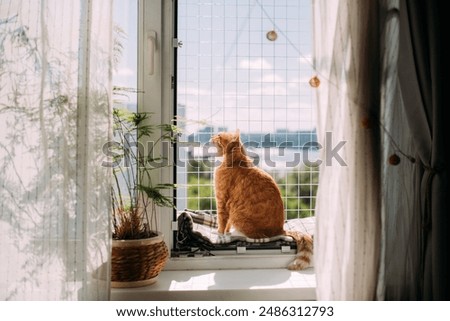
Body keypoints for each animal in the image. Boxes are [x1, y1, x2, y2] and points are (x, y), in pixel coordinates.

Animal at [211, 129, 312, 268]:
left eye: (219, 135)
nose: (211, 136)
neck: (234, 161)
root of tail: (281, 230)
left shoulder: (222, 200)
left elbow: (222, 221)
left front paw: (220, 236)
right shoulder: (228, 205)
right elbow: (226, 224)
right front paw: (225, 233)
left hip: (238, 215)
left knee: (255, 237)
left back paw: (235, 235)